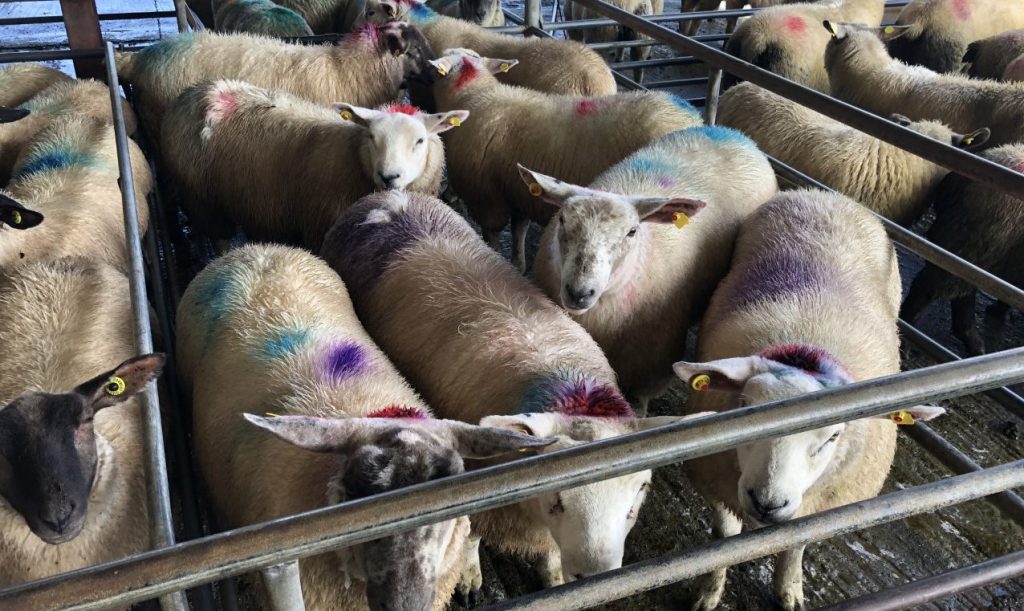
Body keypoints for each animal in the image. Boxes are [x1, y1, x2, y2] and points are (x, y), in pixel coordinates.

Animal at [161, 79, 465, 251]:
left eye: (420, 140)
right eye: (371, 136)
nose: (389, 176)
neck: (353, 157)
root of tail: (198, 92)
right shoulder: (320, 227)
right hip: (201, 199)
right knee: (219, 236)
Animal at [319, 190, 705, 593]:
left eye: (640, 491)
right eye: (557, 498)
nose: (595, 577)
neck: (569, 388)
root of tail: (390, 197)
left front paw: (552, 576)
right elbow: (470, 536)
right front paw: (470, 576)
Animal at [425, 49, 703, 270]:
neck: (473, 96)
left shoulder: (486, 197)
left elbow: (493, 236)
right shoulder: (519, 190)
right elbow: (519, 230)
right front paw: (518, 264)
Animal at [673, 189, 944, 611]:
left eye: (833, 437)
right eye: (743, 411)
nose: (768, 503)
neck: (804, 347)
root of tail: (826, 195)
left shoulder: (822, 507)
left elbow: (794, 546)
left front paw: (790, 591)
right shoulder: (717, 482)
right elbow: (721, 542)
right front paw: (709, 591)